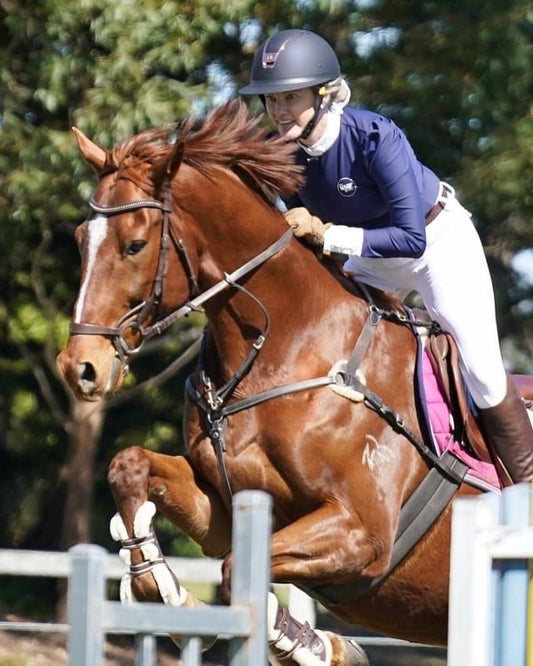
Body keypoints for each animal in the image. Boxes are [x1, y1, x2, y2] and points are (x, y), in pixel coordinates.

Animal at [57, 100, 488, 665]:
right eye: (80, 240)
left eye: (134, 245)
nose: (79, 367)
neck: (285, 348)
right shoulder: (223, 509)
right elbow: (129, 467)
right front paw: (154, 586)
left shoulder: (362, 536)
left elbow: (234, 574)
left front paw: (317, 645)